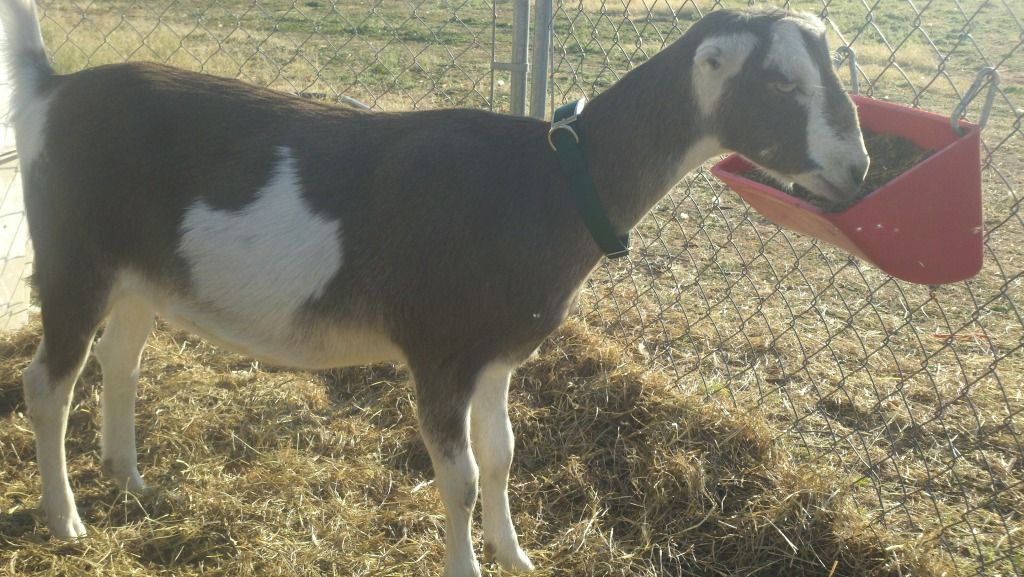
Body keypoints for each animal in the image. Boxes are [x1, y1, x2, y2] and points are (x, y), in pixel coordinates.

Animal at [0, 1, 868, 575]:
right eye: (782, 83)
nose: (857, 169)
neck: (550, 181)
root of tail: (51, 91)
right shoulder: (440, 352)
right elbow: (460, 475)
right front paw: (468, 566)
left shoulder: (498, 354)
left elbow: (504, 455)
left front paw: (517, 556)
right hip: (74, 258)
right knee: (48, 382)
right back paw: (66, 518)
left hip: (141, 275)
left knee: (119, 360)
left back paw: (129, 479)